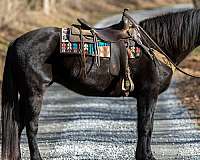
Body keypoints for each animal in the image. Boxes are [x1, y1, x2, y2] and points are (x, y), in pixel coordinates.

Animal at [1, 9, 200, 160]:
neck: (154, 47)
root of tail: (15, 42)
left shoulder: (145, 96)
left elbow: (144, 126)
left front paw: (144, 155)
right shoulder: (149, 94)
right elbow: (146, 127)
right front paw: (146, 156)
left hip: (24, 93)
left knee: (17, 125)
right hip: (33, 92)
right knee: (30, 126)